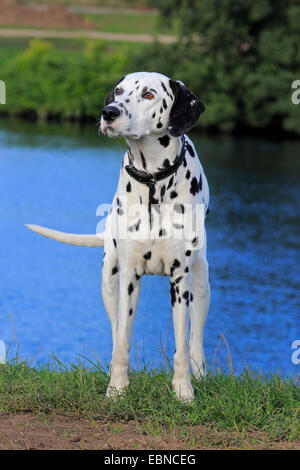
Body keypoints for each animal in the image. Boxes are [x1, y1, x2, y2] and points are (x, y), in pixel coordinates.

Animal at [27, 71, 211, 402]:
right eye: (118, 91)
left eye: (149, 94)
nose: (108, 112)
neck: (153, 182)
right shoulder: (128, 276)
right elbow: (123, 341)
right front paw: (116, 389)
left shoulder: (179, 279)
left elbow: (181, 343)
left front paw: (183, 392)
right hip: (109, 282)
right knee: (116, 332)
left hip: (201, 286)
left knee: (196, 338)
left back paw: (200, 374)